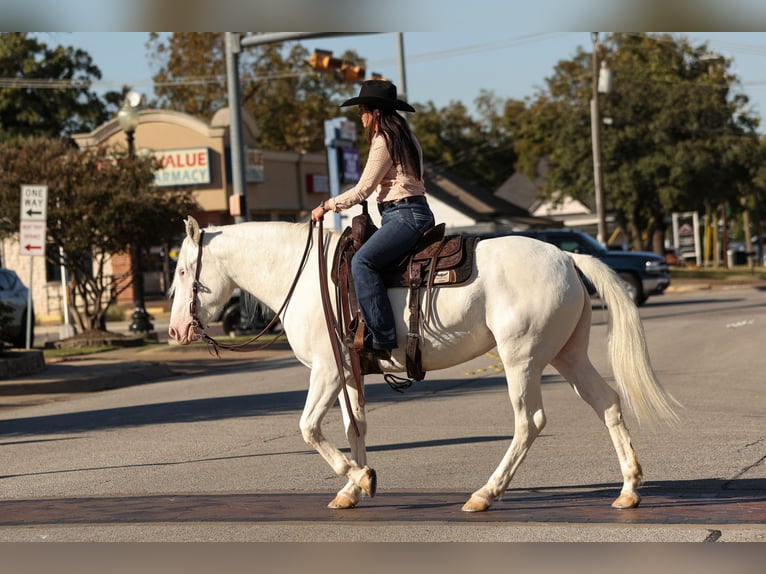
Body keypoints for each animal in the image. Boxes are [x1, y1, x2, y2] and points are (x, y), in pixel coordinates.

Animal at [168, 216, 680, 512]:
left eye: (182, 270)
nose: (174, 331)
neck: (310, 277)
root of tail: (566, 256)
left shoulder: (327, 371)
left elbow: (309, 428)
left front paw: (359, 478)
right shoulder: (348, 372)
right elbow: (356, 428)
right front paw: (354, 488)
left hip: (522, 358)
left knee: (528, 421)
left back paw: (485, 493)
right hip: (565, 354)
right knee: (607, 402)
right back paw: (629, 490)